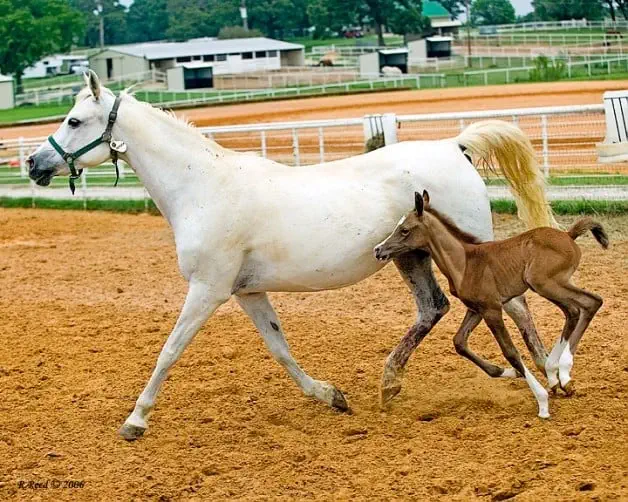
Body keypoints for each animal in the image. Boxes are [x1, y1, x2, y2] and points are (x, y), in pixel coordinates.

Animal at [28, 70, 556, 440]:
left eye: (74, 120)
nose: (34, 163)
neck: (204, 188)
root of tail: (453, 145)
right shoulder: (247, 292)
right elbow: (280, 349)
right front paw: (331, 396)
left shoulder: (207, 289)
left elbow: (170, 350)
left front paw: (136, 420)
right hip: (409, 254)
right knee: (434, 308)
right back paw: (392, 384)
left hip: (467, 250)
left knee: (514, 306)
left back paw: (551, 377)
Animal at [372, 190, 608, 418]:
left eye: (404, 230)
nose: (378, 250)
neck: (465, 262)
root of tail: (568, 235)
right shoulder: (476, 309)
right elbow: (459, 342)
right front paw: (510, 373)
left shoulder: (492, 309)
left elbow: (510, 351)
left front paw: (541, 402)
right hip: (552, 285)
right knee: (583, 306)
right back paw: (557, 374)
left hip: (544, 283)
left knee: (582, 306)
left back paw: (559, 372)